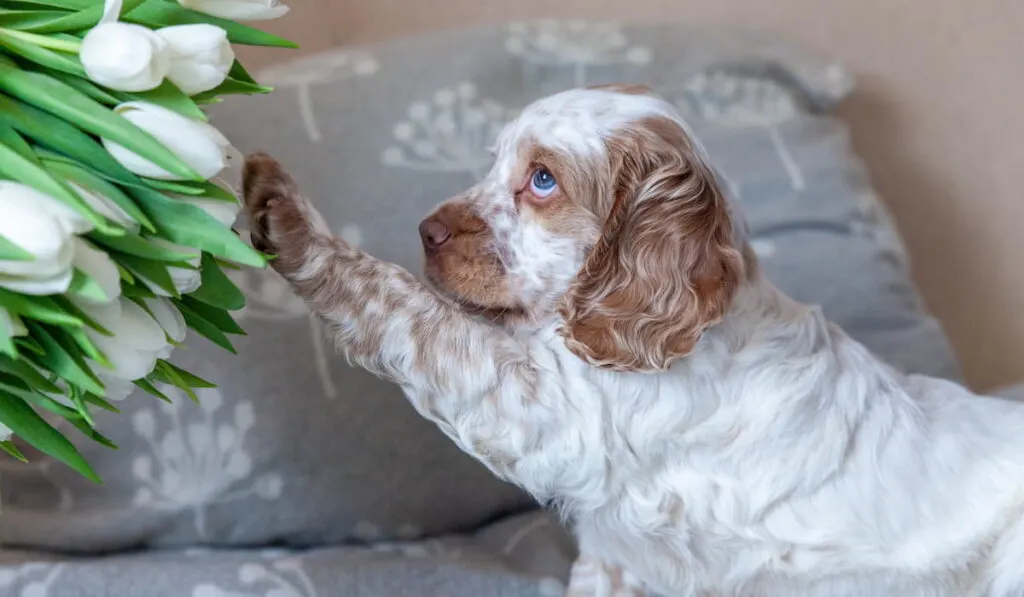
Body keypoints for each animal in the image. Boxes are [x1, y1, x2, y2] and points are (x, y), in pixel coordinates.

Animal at [237, 85, 1024, 597]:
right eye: (495, 164)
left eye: (542, 180)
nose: (425, 230)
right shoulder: (614, 547)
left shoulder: (550, 412)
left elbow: (403, 305)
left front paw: (291, 218)